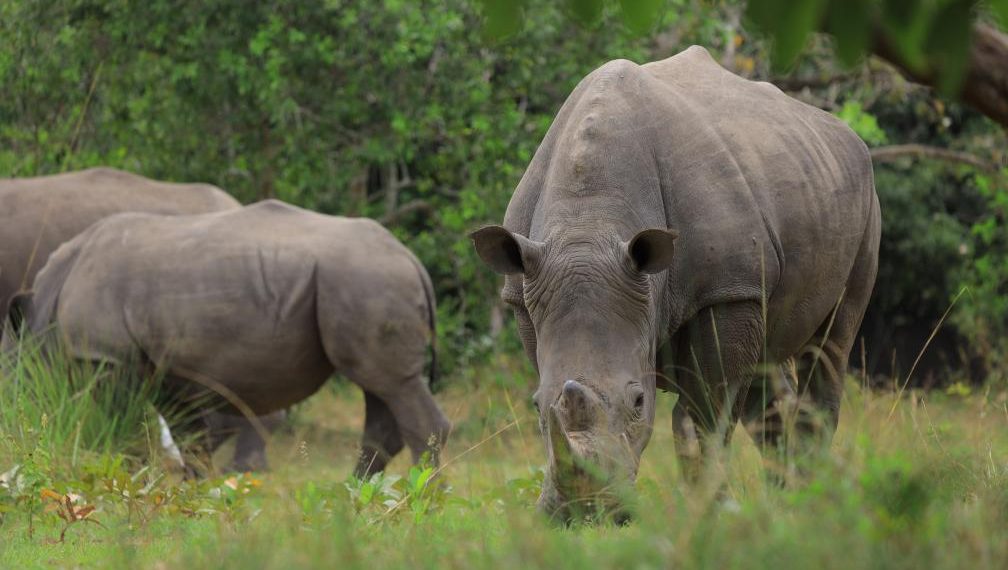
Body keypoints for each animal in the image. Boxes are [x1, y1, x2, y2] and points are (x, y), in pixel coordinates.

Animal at [5, 200, 451, 476]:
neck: (43, 310)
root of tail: (411, 258)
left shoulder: (103, 357)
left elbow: (118, 429)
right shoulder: (165, 368)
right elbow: (189, 436)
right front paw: (192, 493)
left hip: (366, 279)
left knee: (391, 384)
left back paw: (424, 504)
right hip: (364, 281)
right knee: (381, 390)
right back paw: (354, 500)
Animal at [471, 46, 880, 521]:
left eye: (638, 402)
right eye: (535, 404)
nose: (587, 512)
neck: (587, 223)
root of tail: (843, 132)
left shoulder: (725, 290)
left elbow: (702, 419)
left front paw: (709, 513)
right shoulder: (524, 296)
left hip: (863, 202)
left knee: (831, 343)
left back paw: (813, 503)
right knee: (767, 369)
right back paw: (786, 502)